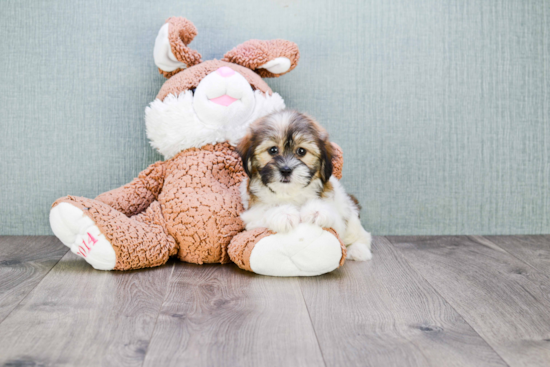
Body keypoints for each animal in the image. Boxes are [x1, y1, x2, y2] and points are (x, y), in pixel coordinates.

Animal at [238, 109, 374, 262]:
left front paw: (316, 211)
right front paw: (283, 213)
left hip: (350, 214)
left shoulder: (336, 218)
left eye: (301, 151)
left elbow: (332, 217)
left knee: (362, 235)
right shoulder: (251, 216)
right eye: (272, 150)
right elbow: (264, 211)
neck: (289, 192)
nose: (286, 170)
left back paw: (358, 250)